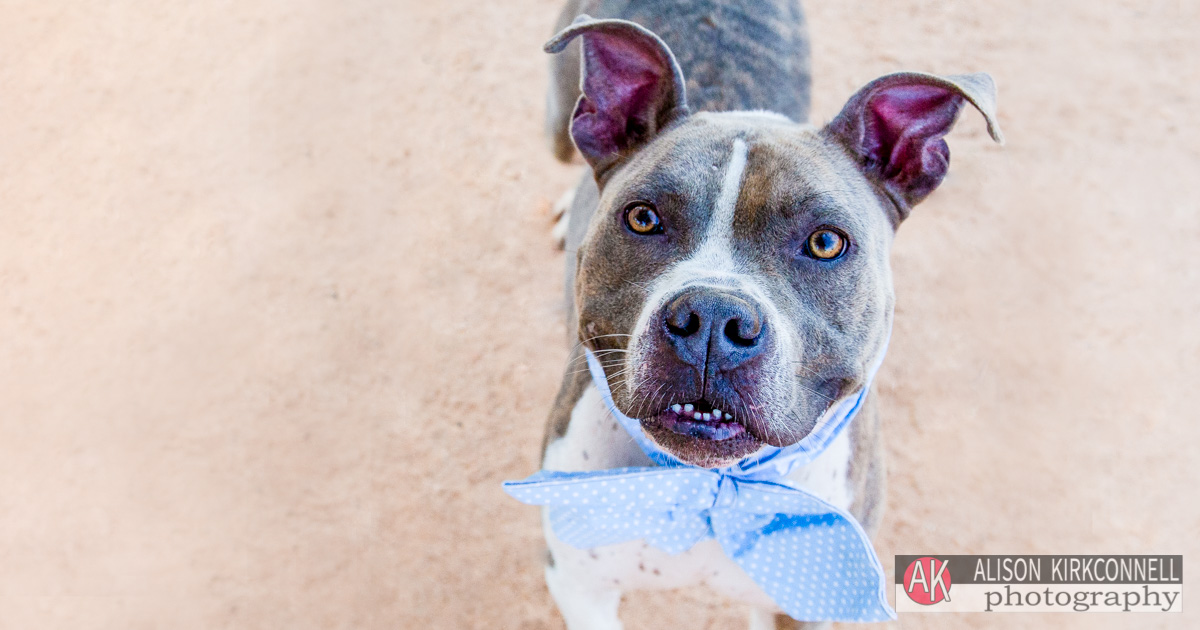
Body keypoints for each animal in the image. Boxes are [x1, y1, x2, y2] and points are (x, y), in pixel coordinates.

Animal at [525, 2, 1003, 624]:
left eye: (825, 242)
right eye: (642, 218)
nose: (711, 319)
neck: (712, 484)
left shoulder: (803, 608)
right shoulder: (581, 588)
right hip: (558, 121)